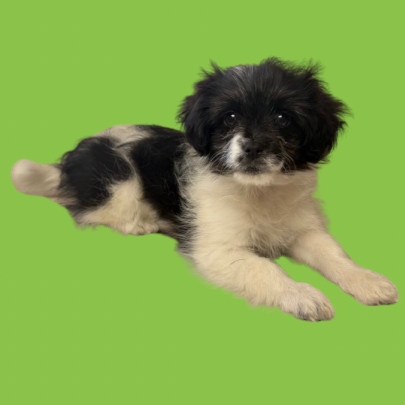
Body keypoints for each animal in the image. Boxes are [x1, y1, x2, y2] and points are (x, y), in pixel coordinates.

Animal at [11, 57, 399, 321]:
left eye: (283, 118)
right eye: (229, 118)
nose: (254, 147)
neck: (257, 191)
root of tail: (67, 165)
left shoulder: (303, 229)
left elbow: (334, 255)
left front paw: (368, 281)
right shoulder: (216, 247)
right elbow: (265, 269)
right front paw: (303, 295)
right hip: (117, 178)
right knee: (95, 209)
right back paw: (140, 222)